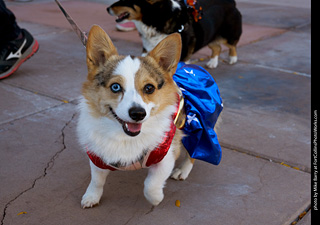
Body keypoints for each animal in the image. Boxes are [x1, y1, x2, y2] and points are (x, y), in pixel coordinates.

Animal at [77, 25, 195, 207]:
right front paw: (92, 197)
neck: (125, 137)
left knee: (194, 154)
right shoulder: (98, 155)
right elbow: (96, 180)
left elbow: (151, 184)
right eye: (116, 87)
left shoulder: (166, 156)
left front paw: (156, 198)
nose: (138, 113)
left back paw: (183, 170)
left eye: (149, 88)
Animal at [106, 0, 241, 68]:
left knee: (232, 45)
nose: (107, 9)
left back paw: (232, 59)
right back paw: (212, 63)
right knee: (217, 48)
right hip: (209, 36)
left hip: (227, 36)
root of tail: (231, 2)